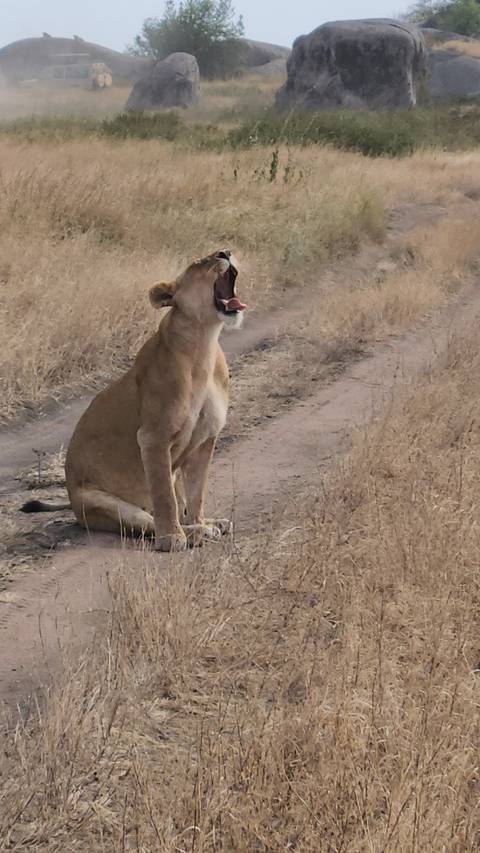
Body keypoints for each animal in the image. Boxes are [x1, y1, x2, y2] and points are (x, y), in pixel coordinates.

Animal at [22, 251, 246, 552]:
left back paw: (209, 524)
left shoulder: (206, 439)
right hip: (104, 503)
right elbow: (165, 498)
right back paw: (194, 533)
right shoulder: (152, 438)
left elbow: (197, 491)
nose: (226, 252)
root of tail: (70, 499)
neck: (204, 345)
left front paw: (200, 520)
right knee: (147, 521)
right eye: (200, 262)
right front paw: (172, 539)